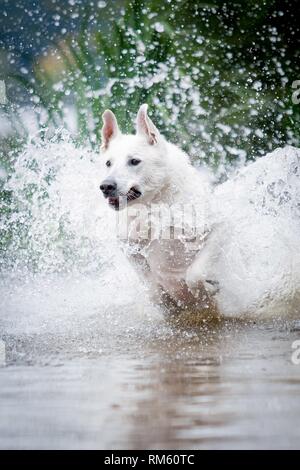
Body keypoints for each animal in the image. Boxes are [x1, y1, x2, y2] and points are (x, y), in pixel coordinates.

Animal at [100, 104, 300, 318]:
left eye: (134, 161)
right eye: (108, 163)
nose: (105, 186)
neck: (155, 205)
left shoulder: (220, 228)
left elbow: (194, 274)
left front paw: (208, 288)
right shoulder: (130, 249)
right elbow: (154, 290)